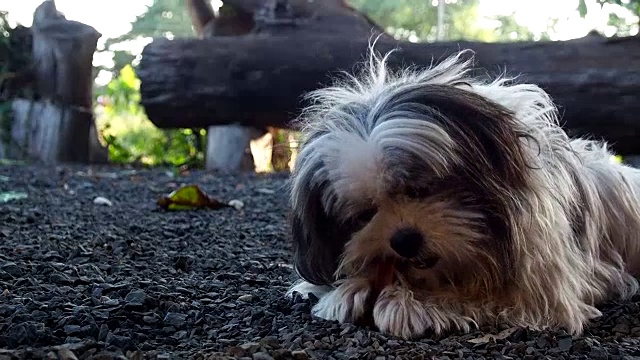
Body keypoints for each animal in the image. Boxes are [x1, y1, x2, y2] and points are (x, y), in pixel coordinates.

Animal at [284, 45, 640, 340]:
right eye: (363, 213)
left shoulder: (544, 292)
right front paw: (348, 288)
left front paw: (418, 302)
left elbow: (485, 296)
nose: (404, 240)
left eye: (421, 187)